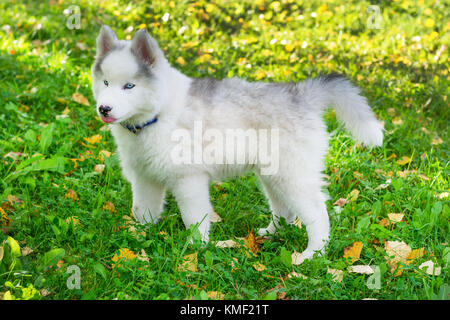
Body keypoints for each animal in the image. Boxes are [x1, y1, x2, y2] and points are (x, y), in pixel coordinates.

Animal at [91, 26, 384, 258]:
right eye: (105, 82)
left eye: (129, 86)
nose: (104, 108)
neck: (156, 117)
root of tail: (302, 94)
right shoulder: (144, 177)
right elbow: (143, 210)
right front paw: (138, 240)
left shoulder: (189, 179)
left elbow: (194, 218)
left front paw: (195, 251)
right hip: (272, 175)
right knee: (284, 211)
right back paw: (270, 234)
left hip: (292, 175)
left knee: (317, 213)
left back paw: (313, 254)